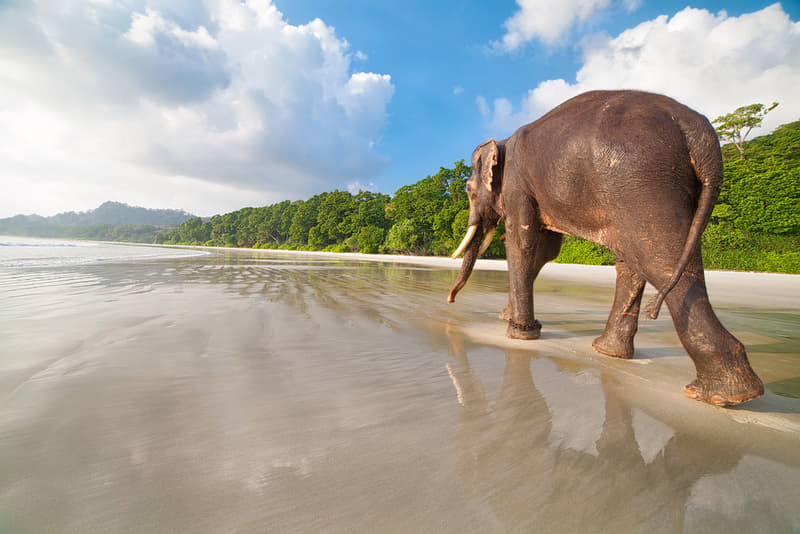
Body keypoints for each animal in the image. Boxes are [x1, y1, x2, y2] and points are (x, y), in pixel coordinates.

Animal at [447, 90, 764, 407]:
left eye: (467, 190)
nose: (449, 300)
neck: (502, 141)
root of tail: (698, 131)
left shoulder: (517, 185)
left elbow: (523, 242)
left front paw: (518, 334)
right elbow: (545, 250)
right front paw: (510, 319)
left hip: (638, 179)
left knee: (657, 258)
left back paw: (723, 395)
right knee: (641, 259)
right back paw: (610, 352)